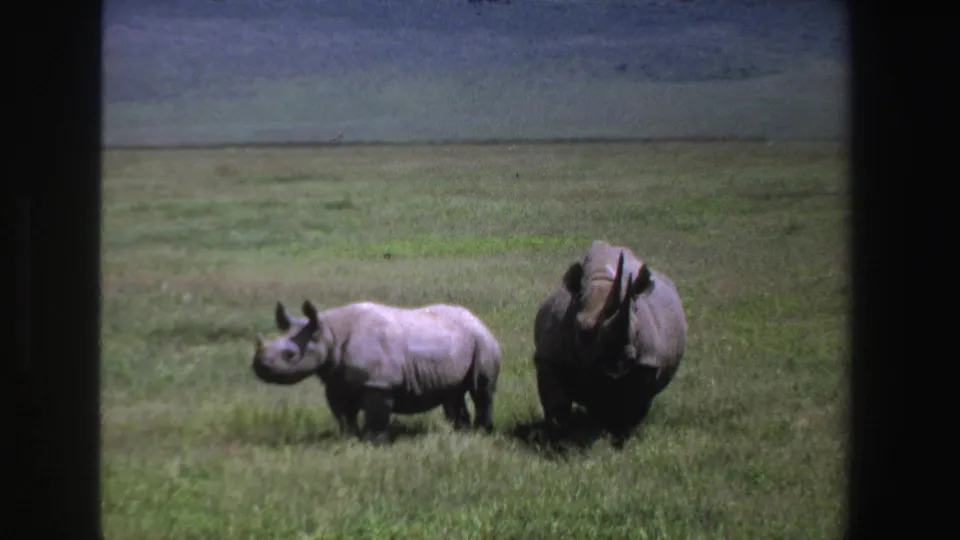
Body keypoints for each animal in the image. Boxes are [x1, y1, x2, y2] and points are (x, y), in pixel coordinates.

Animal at [251, 299, 502, 444]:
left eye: (290, 355)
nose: (258, 367)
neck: (329, 332)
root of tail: (478, 319)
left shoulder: (379, 381)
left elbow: (376, 414)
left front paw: (374, 442)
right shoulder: (335, 380)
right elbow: (343, 413)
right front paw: (348, 438)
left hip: (483, 341)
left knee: (481, 390)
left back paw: (482, 433)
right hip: (456, 342)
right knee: (453, 393)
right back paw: (459, 433)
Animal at [532, 240, 688, 442]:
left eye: (637, 332)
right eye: (582, 331)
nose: (617, 364)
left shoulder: (648, 361)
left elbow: (633, 401)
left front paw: (621, 435)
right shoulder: (550, 354)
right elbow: (557, 402)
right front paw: (560, 437)